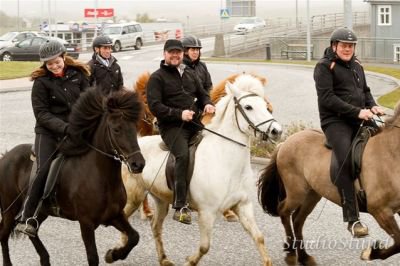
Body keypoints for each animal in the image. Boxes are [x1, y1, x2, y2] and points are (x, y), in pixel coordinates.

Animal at [0, 88, 146, 266]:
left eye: (134, 127)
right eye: (116, 129)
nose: (138, 164)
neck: (102, 177)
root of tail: (6, 156)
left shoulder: (115, 215)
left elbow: (134, 237)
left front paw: (113, 255)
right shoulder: (86, 223)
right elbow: (93, 257)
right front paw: (112, 255)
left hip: (40, 212)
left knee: (32, 231)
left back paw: (45, 258)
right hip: (10, 208)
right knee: (4, 234)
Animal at [120, 73, 280, 266]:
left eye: (265, 105)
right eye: (248, 107)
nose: (276, 131)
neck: (225, 160)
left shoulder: (243, 205)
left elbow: (259, 237)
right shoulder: (207, 213)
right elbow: (204, 247)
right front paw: (189, 261)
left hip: (160, 199)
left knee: (155, 227)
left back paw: (163, 259)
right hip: (133, 196)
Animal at [258, 101, 400, 264]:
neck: (390, 153)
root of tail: (284, 143)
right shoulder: (380, 211)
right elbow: (399, 242)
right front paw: (370, 253)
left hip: (312, 195)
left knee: (297, 219)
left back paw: (304, 257)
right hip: (296, 193)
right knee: (284, 211)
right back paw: (291, 254)